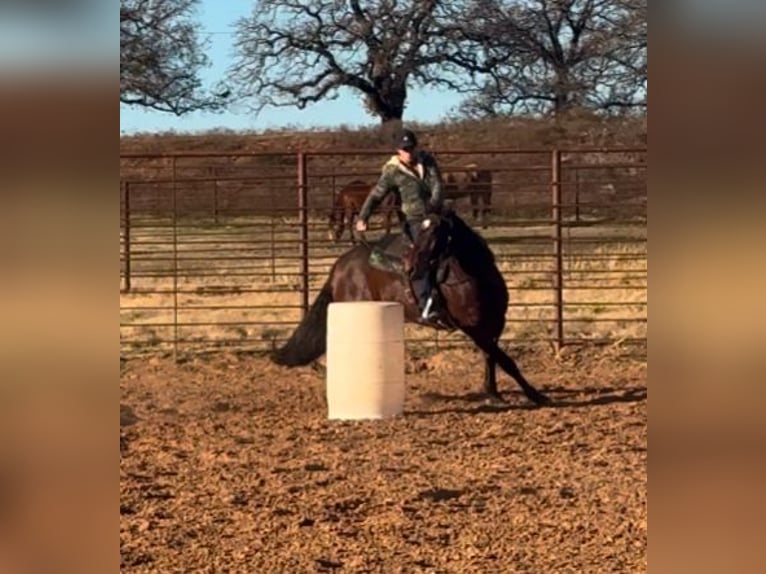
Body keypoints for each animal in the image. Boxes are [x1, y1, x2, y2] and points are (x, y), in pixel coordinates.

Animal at [272, 209, 548, 408]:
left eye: (436, 233)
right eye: (418, 233)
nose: (410, 267)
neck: (473, 278)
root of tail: (340, 265)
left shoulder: (494, 323)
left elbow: (492, 358)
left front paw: (492, 393)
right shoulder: (472, 328)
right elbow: (505, 360)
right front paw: (536, 395)